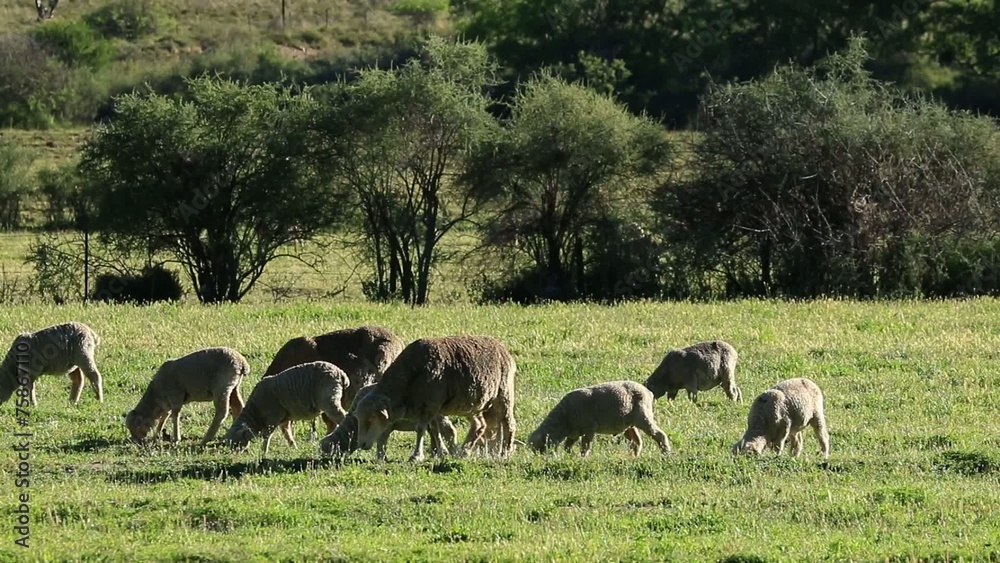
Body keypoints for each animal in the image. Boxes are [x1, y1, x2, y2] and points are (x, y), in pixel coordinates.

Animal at [223, 362, 352, 458]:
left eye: (236, 442)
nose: (234, 455)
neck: (255, 410)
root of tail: (341, 373)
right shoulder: (284, 418)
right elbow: (286, 432)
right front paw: (294, 447)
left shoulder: (273, 417)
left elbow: (267, 436)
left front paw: (264, 452)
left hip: (329, 400)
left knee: (342, 416)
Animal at [320, 382, 458, 460]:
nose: (320, 460)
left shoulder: (386, 424)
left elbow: (381, 440)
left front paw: (381, 457)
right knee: (434, 433)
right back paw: (436, 454)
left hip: (439, 416)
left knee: (449, 431)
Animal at [352, 334, 520, 462]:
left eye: (371, 419)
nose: (362, 444)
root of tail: (503, 348)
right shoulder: (432, 406)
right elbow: (434, 428)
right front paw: (441, 453)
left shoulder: (430, 403)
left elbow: (421, 429)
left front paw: (416, 456)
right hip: (481, 403)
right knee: (485, 425)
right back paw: (478, 452)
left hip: (504, 394)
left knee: (508, 423)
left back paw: (504, 453)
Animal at [524, 384, 672, 458]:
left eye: (540, 447)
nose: (540, 460)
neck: (563, 418)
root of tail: (648, 392)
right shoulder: (574, 432)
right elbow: (567, 446)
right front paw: (570, 456)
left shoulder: (589, 428)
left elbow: (585, 446)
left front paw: (582, 457)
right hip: (628, 423)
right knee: (636, 442)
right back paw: (633, 458)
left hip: (642, 416)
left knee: (659, 435)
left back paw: (666, 454)